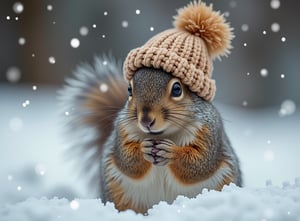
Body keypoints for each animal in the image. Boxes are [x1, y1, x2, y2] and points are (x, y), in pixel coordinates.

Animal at [60, 0, 241, 213]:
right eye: (129, 89)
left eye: (177, 89)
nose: (146, 120)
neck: (163, 134)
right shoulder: (121, 129)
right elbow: (126, 160)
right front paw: (142, 148)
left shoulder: (209, 131)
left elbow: (201, 162)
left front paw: (172, 152)